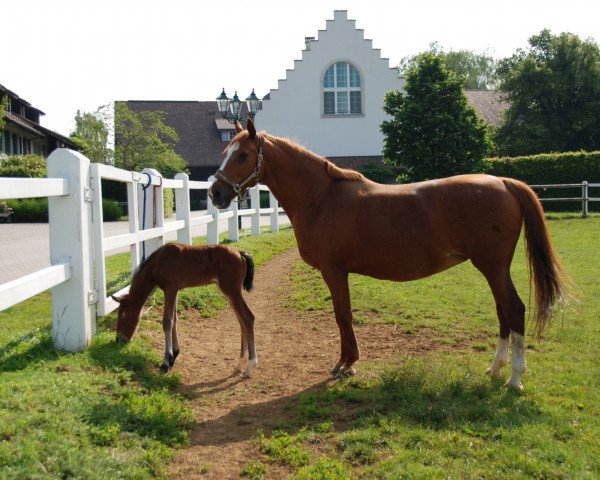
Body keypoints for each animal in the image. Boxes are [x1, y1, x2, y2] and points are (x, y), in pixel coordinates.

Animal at [111, 246, 256, 376]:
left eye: (122, 315)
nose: (119, 339)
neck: (158, 261)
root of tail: (239, 253)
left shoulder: (169, 289)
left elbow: (167, 322)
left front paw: (165, 362)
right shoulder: (175, 290)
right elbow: (174, 319)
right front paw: (174, 355)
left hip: (231, 291)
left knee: (248, 317)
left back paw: (250, 366)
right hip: (229, 292)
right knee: (241, 320)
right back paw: (239, 364)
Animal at [210, 120, 572, 390]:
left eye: (243, 155)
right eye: (226, 151)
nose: (216, 193)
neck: (321, 197)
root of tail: (503, 181)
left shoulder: (334, 271)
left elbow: (343, 316)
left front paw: (346, 365)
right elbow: (343, 315)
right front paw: (347, 362)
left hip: (493, 267)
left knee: (514, 309)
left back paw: (514, 378)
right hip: (494, 269)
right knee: (503, 313)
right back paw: (495, 369)